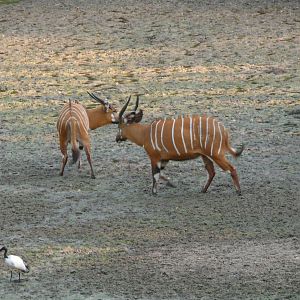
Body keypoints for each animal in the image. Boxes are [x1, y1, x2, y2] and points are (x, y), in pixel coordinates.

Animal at [116, 95, 245, 195]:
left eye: (119, 126)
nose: (117, 138)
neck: (145, 133)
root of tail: (223, 130)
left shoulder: (154, 157)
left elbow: (155, 174)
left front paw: (154, 192)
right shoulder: (164, 159)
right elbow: (161, 174)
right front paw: (171, 184)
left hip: (216, 154)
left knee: (231, 169)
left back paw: (238, 191)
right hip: (205, 155)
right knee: (211, 172)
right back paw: (203, 190)